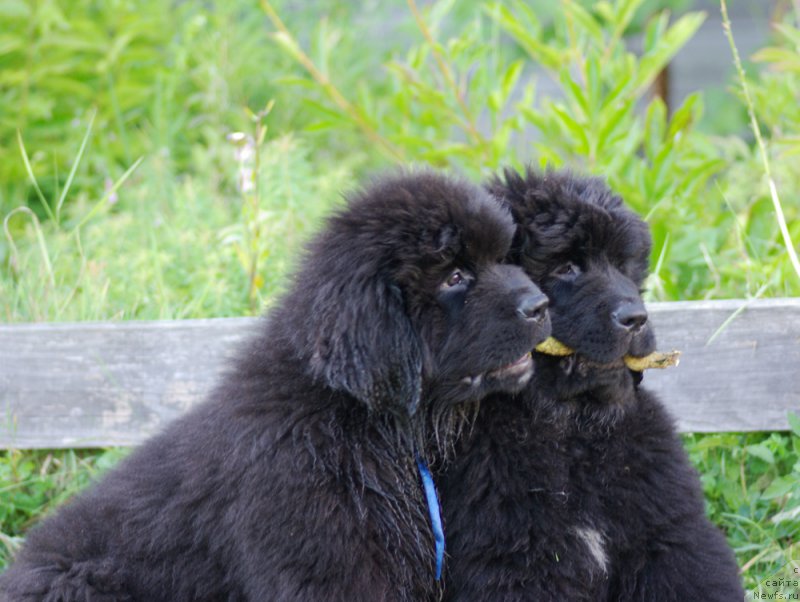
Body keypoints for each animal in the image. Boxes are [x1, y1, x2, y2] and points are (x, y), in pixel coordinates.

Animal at [440, 169, 740, 600]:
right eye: (566, 268)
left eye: (622, 264)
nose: (636, 318)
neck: (574, 433)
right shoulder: (519, 560)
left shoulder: (669, 535)